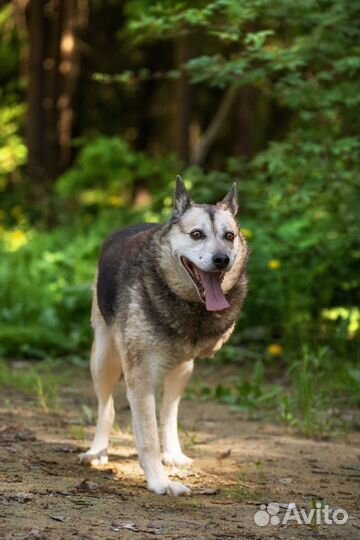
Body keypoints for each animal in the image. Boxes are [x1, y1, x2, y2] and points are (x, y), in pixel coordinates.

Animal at [79, 175, 249, 496]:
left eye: (229, 236)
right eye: (196, 234)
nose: (222, 259)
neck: (187, 305)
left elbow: (163, 420)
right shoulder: (139, 378)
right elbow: (147, 437)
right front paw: (159, 481)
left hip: (182, 370)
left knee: (169, 412)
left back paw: (173, 453)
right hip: (104, 358)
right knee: (107, 408)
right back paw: (97, 451)